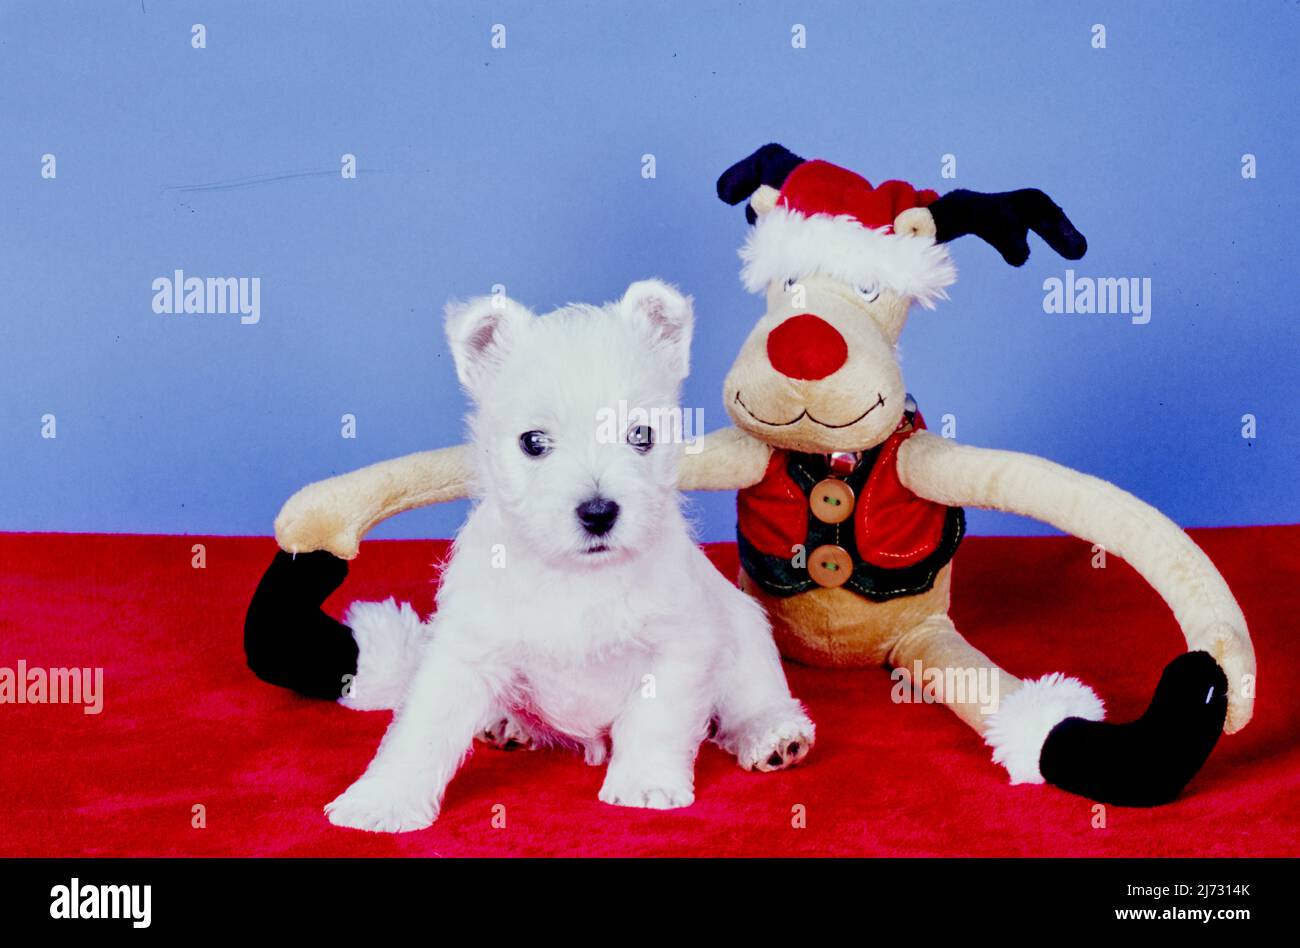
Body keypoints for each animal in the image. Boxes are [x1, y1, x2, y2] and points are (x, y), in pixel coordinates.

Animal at [325, 279, 811, 827]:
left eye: (641, 434)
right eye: (533, 442)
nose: (599, 513)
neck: (575, 574)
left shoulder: (679, 644)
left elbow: (656, 719)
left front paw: (644, 783)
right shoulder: (465, 650)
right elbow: (421, 730)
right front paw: (381, 799)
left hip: (743, 629)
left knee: (753, 695)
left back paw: (774, 736)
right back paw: (506, 722)